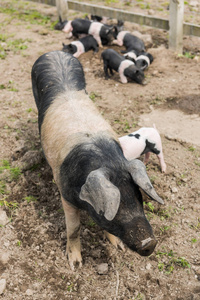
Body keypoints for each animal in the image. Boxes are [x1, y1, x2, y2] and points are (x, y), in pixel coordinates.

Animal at [31, 50, 164, 270]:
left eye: (138, 196)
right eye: (115, 205)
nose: (149, 243)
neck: (106, 159)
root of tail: (54, 52)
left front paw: (118, 247)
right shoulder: (66, 195)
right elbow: (74, 228)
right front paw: (75, 265)